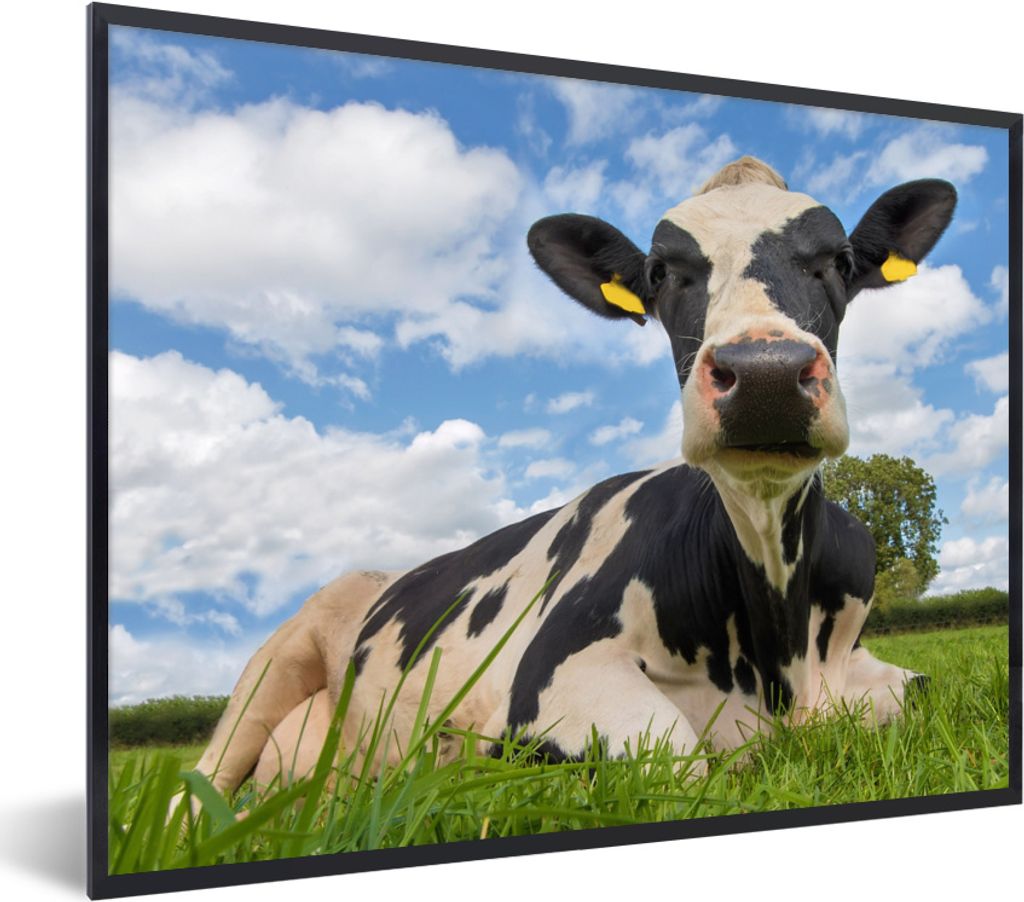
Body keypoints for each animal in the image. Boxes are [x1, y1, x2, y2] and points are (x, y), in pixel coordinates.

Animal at [190, 155, 956, 799]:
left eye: (841, 261)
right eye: (660, 272)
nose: (765, 373)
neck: (781, 652)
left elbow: (930, 696)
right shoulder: (547, 680)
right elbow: (678, 759)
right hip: (270, 669)